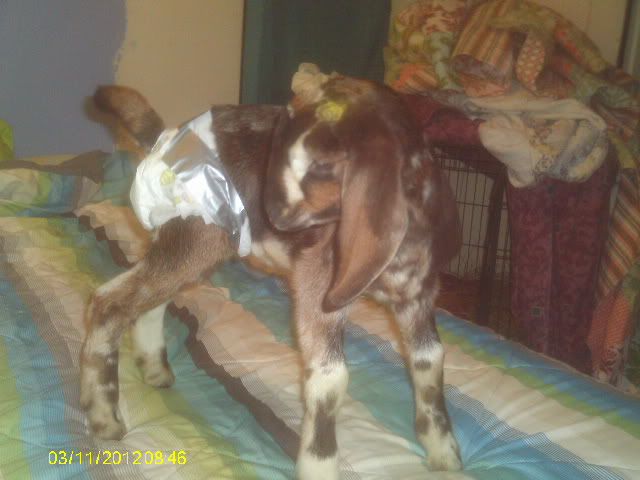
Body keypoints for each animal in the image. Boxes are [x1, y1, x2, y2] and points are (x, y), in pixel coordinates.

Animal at [80, 76, 463, 478]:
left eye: (322, 165)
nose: (272, 215)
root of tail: (165, 138)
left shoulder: (417, 295)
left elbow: (431, 358)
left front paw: (442, 449)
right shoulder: (317, 287)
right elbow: (331, 377)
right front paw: (319, 463)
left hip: (191, 247)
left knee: (149, 301)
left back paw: (154, 370)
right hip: (197, 239)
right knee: (110, 301)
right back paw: (104, 415)